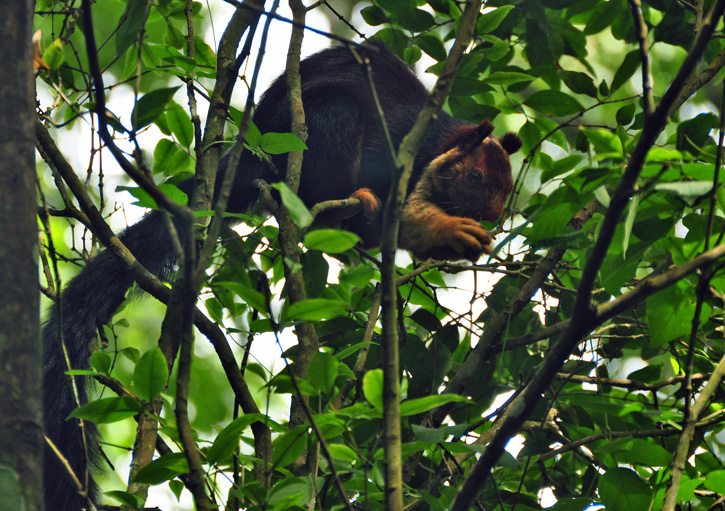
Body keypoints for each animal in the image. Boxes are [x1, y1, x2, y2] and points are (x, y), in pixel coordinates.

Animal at [42, 44, 521, 510]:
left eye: (507, 186)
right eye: (475, 176)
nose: (495, 214)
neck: (434, 146)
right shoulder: (397, 148)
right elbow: (400, 214)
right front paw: (438, 228)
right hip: (317, 133)